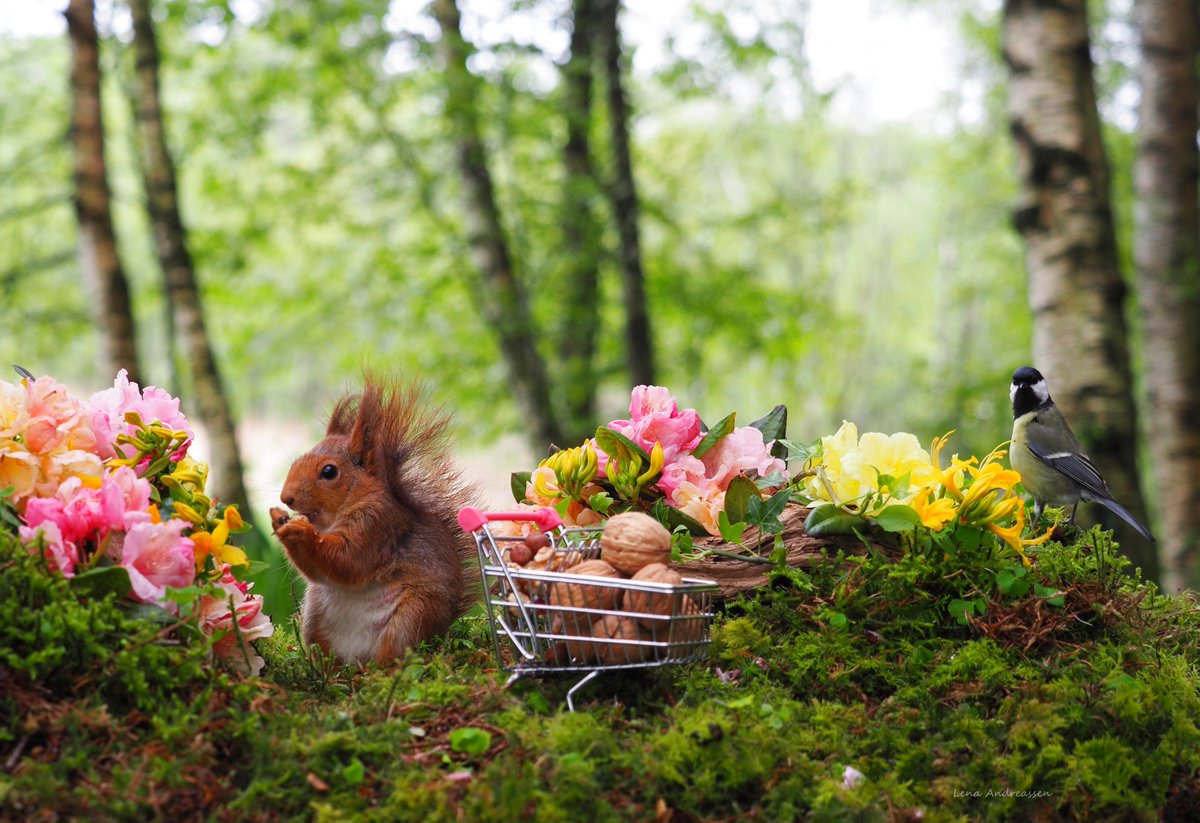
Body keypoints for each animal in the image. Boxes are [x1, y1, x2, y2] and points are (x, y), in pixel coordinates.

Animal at [272, 379, 477, 662]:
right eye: (297, 461)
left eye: (329, 471)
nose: (286, 498)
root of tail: (357, 656)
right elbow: (319, 571)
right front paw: (280, 523)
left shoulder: (377, 524)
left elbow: (350, 560)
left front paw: (300, 531)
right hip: (314, 616)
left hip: (413, 615)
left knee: (396, 657)